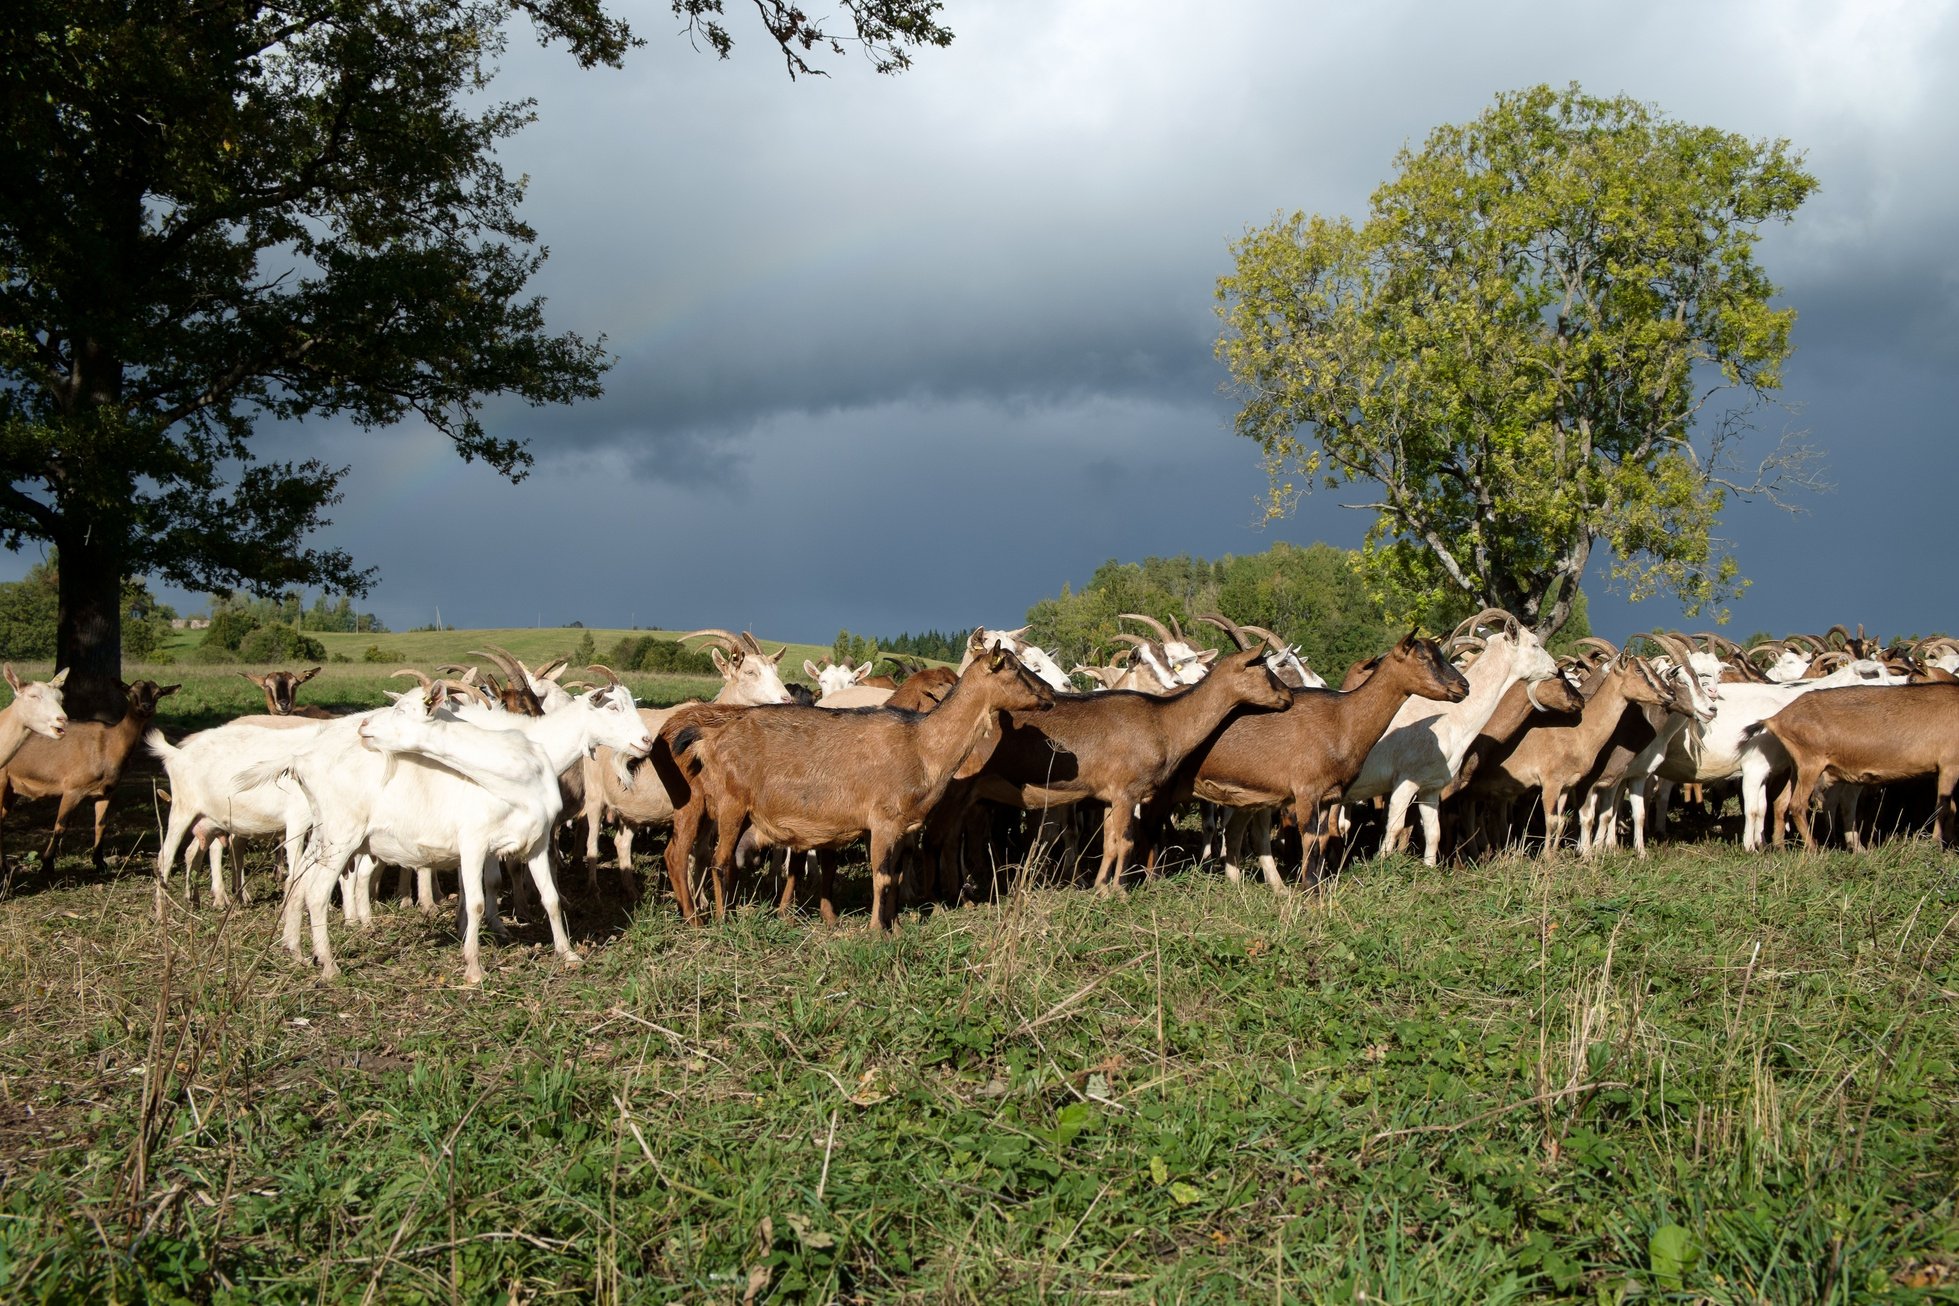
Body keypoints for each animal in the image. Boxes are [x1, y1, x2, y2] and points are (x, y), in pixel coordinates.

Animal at [0, 679, 178, 876]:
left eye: (157, 694)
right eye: (132, 692)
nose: (146, 707)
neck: (109, 746)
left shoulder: (106, 791)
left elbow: (101, 824)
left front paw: (100, 863)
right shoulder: (72, 787)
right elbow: (61, 825)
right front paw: (47, 865)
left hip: (12, 788)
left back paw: (5, 867)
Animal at [662, 644, 1056, 928]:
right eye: (1015, 670)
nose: (1052, 694)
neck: (923, 745)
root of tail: (711, 735)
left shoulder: (902, 828)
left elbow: (893, 876)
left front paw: (895, 926)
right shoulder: (881, 822)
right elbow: (880, 877)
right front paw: (875, 932)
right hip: (731, 805)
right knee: (718, 861)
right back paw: (720, 920)